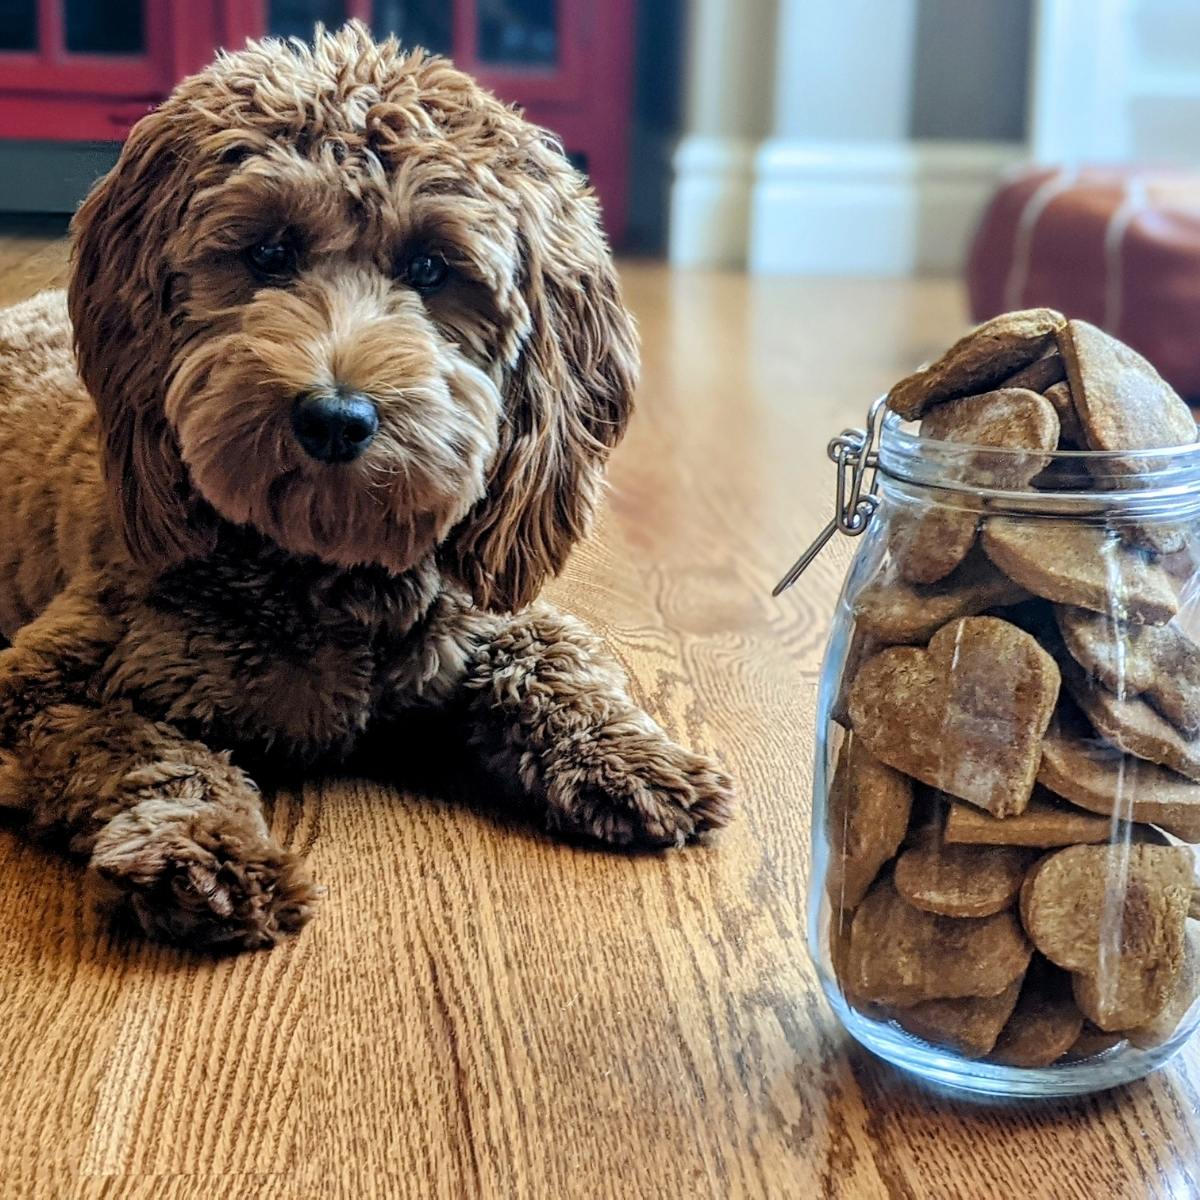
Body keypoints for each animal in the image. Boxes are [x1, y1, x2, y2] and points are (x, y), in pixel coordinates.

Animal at [0, 23, 729, 950]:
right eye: (269, 253)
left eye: (432, 266)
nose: (335, 418)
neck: (325, 572)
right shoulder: (46, 681)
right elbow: (146, 753)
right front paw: (199, 853)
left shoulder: (480, 614)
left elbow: (552, 656)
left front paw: (631, 755)